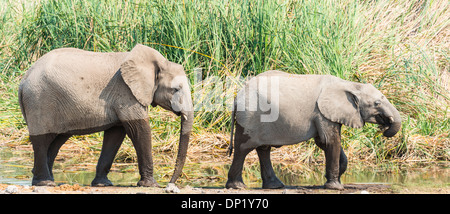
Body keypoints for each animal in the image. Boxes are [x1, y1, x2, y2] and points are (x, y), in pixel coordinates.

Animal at [18, 44, 193, 187]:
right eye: (176, 89)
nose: (170, 184)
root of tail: (23, 80)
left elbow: (115, 135)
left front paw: (103, 184)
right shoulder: (126, 93)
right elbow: (139, 129)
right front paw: (150, 185)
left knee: (57, 140)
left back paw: (46, 180)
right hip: (40, 100)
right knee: (42, 140)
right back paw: (45, 183)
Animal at [227, 70, 402, 189]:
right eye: (377, 103)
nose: (384, 127)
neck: (349, 84)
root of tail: (237, 96)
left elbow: (323, 142)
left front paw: (333, 179)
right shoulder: (322, 112)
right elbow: (330, 141)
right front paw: (335, 187)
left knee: (263, 149)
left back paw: (275, 186)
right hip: (250, 116)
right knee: (243, 148)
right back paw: (237, 186)